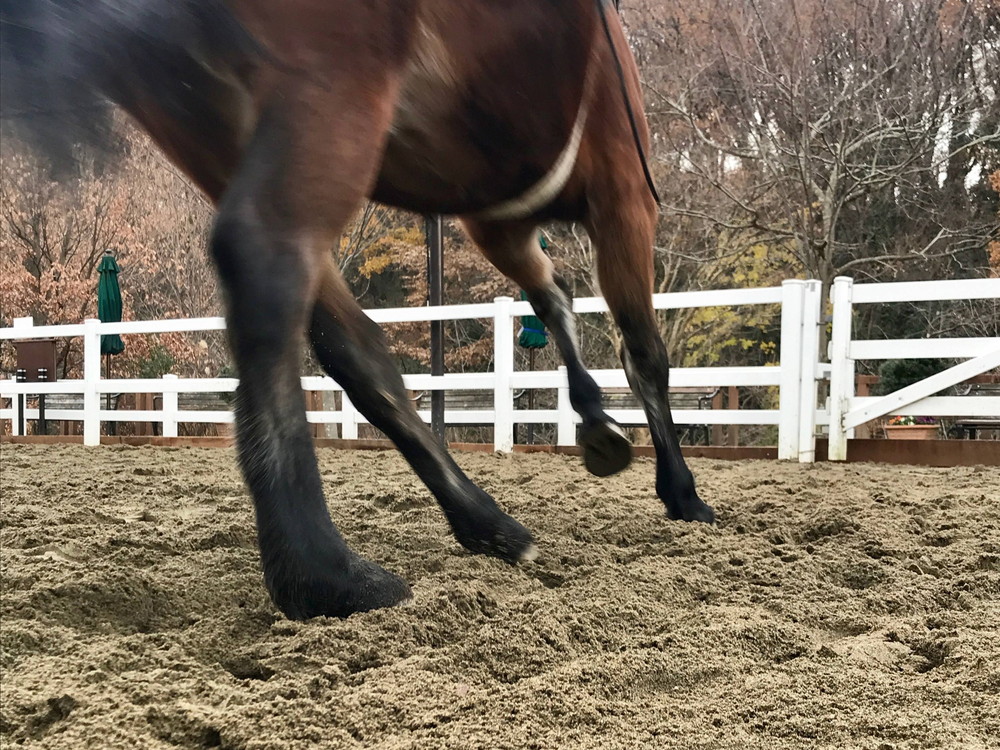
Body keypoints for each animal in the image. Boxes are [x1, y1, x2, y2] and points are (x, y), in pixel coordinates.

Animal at [0, 0, 715, 620]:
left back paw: (484, 525)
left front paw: (597, 423)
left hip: (214, 123)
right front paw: (680, 491)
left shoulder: (501, 219)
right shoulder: (621, 191)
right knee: (266, 259)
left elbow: (553, 299)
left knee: (353, 345)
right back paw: (327, 572)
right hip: (333, 91)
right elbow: (643, 351)